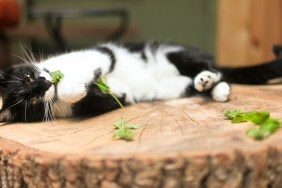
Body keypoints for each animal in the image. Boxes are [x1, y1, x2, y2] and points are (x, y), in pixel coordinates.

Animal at [0, 41, 282, 122]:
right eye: (31, 101)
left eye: (28, 75)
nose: (45, 85)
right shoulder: (114, 96)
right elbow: (104, 97)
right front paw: (83, 89)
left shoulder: (102, 53)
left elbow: (95, 63)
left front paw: (74, 83)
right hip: (179, 86)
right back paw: (209, 87)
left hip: (176, 53)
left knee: (216, 70)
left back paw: (210, 82)